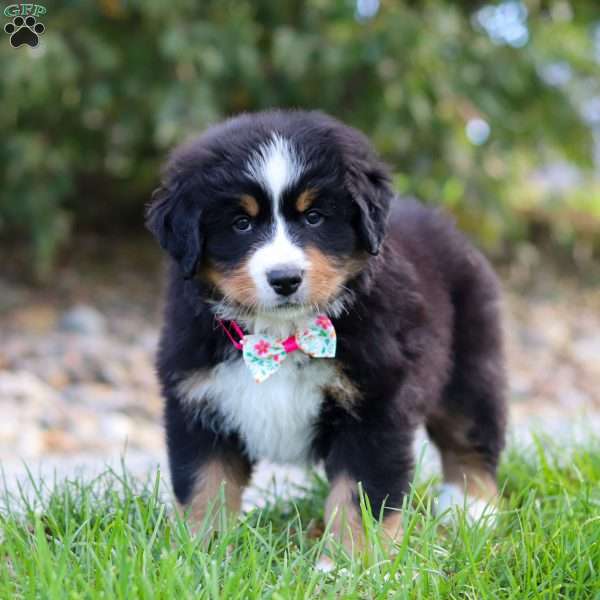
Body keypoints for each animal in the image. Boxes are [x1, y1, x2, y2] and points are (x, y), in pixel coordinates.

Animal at [146, 109, 506, 568]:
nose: (285, 278)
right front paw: (198, 555)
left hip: (469, 363)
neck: (282, 337)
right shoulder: (197, 401)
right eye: (241, 224)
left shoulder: (376, 406)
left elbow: (359, 497)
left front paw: (349, 565)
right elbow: (203, 487)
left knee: (471, 435)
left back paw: (471, 508)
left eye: (314, 217)